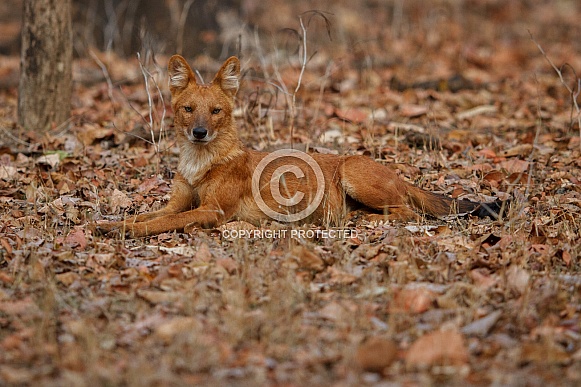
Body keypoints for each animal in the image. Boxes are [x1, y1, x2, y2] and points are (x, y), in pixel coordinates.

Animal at [97, 54, 500, 236]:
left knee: (409, 213)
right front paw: (111, 224)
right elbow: (152, 215)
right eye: (188, 109)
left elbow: (166, 222)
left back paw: (363, 218)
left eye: (215, 111)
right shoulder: (179, 201)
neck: (200, 161)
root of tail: (400, 176)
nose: (199, 132)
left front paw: (126, 231)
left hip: (354, 171)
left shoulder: (212, 211)